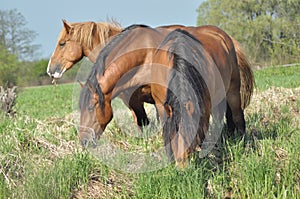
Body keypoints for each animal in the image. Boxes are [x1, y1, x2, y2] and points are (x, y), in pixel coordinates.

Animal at [78, 24, 247, 168]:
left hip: (232, 90)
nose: (83, 140)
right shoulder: (147, 102)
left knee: (235, 115)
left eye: (90, 107)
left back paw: (240, 142)